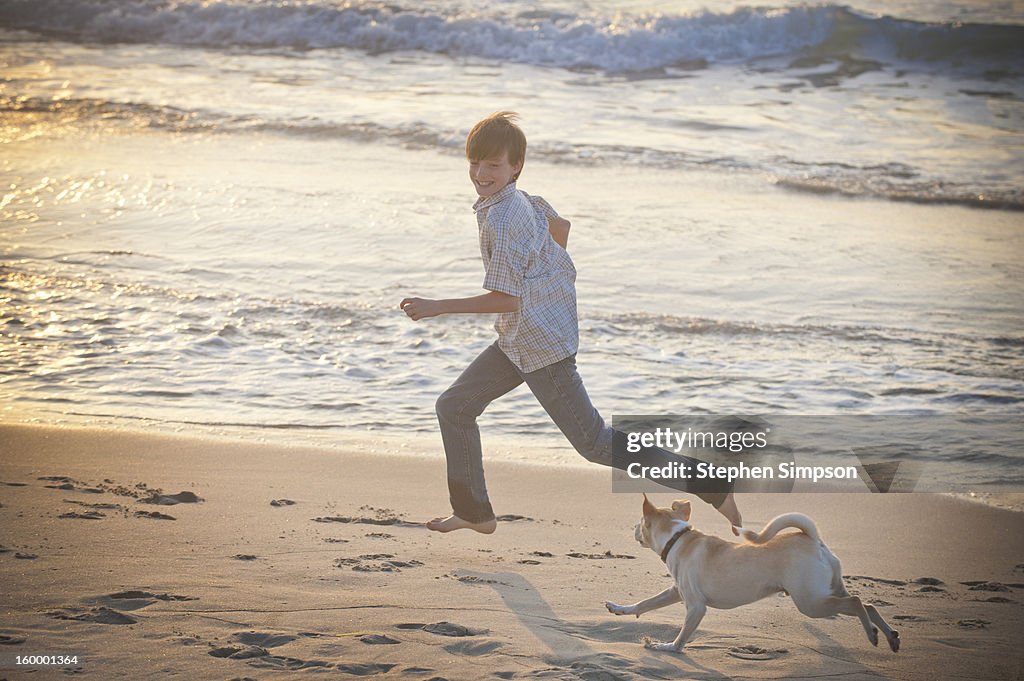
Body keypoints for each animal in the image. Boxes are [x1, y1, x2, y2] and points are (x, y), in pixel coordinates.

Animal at [602, 497, 901, 651]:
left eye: (641, 523)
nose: (632, 528)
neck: (678, 537)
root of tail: (811, 538)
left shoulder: (696, 607)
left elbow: (682, 636)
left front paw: (666, 647)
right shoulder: (676, 591)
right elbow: (646, 603)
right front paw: (620, 608)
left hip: (810, 602)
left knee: (856, 602)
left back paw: (873, 634)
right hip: (828, 590)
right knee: (868, 604)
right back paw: (890, 635)